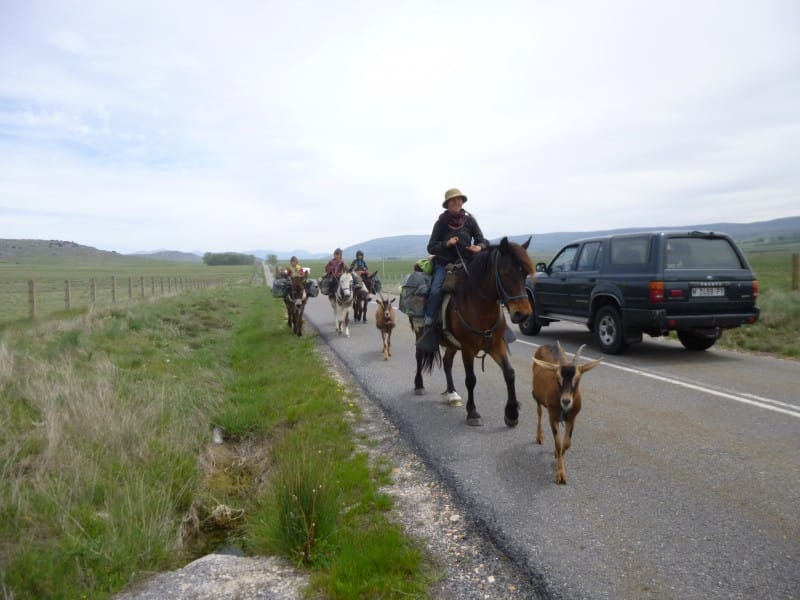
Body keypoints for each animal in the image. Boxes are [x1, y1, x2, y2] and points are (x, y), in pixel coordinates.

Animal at [416, 234, 536, 426]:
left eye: (524, 273)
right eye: (506, 273)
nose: (523, 314)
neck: (480, 306)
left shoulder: (496, 344)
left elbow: (509, 373)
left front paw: (511, 413)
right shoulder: (467, 348)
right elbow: (471, 379)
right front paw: (472, 412)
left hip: (451, 343)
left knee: (447, 362)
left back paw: (452, 394)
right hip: (419, 333)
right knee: (419, 355)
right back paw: (419, 385)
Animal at [532, 342, 600, 482]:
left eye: (578, 378)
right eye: (557, 378)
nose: (566, 401)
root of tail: (547, 344)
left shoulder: (572, 418)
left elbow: (566, 443)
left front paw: (557, 455)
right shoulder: (553, 417)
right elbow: (558, 443)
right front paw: (561, 474)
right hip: (537, 396)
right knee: (539, 412)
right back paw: (539, 436)